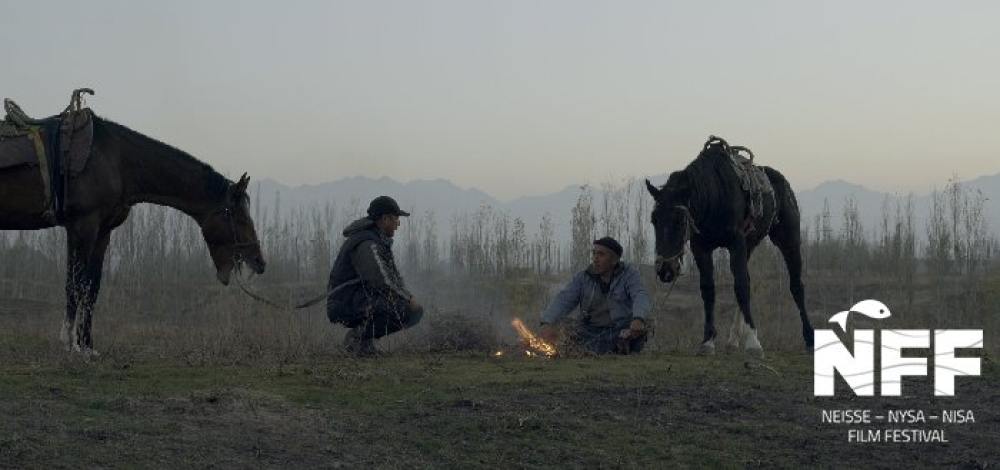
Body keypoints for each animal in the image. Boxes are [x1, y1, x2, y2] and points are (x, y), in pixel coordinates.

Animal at [0, 111, 266, 352]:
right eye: (239, 216)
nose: (259, 262)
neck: (114, 160)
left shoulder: (102, 232)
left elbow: (91, 287)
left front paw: (87, 345)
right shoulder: (82, 227)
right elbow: (74, 284)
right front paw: (69, 343)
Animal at [644, 137, 816, 356]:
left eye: (681, 222)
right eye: (654, 220)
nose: (666, 270)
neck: (714, 197)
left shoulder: (735, 243)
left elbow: (741, 286)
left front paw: (753, 343)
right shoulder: (701, 248)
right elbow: (709, 289)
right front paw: (708, 341)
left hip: (789, 240)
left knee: (796, 286)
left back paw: (809, 337)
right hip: (749, 245)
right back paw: (733, 339)